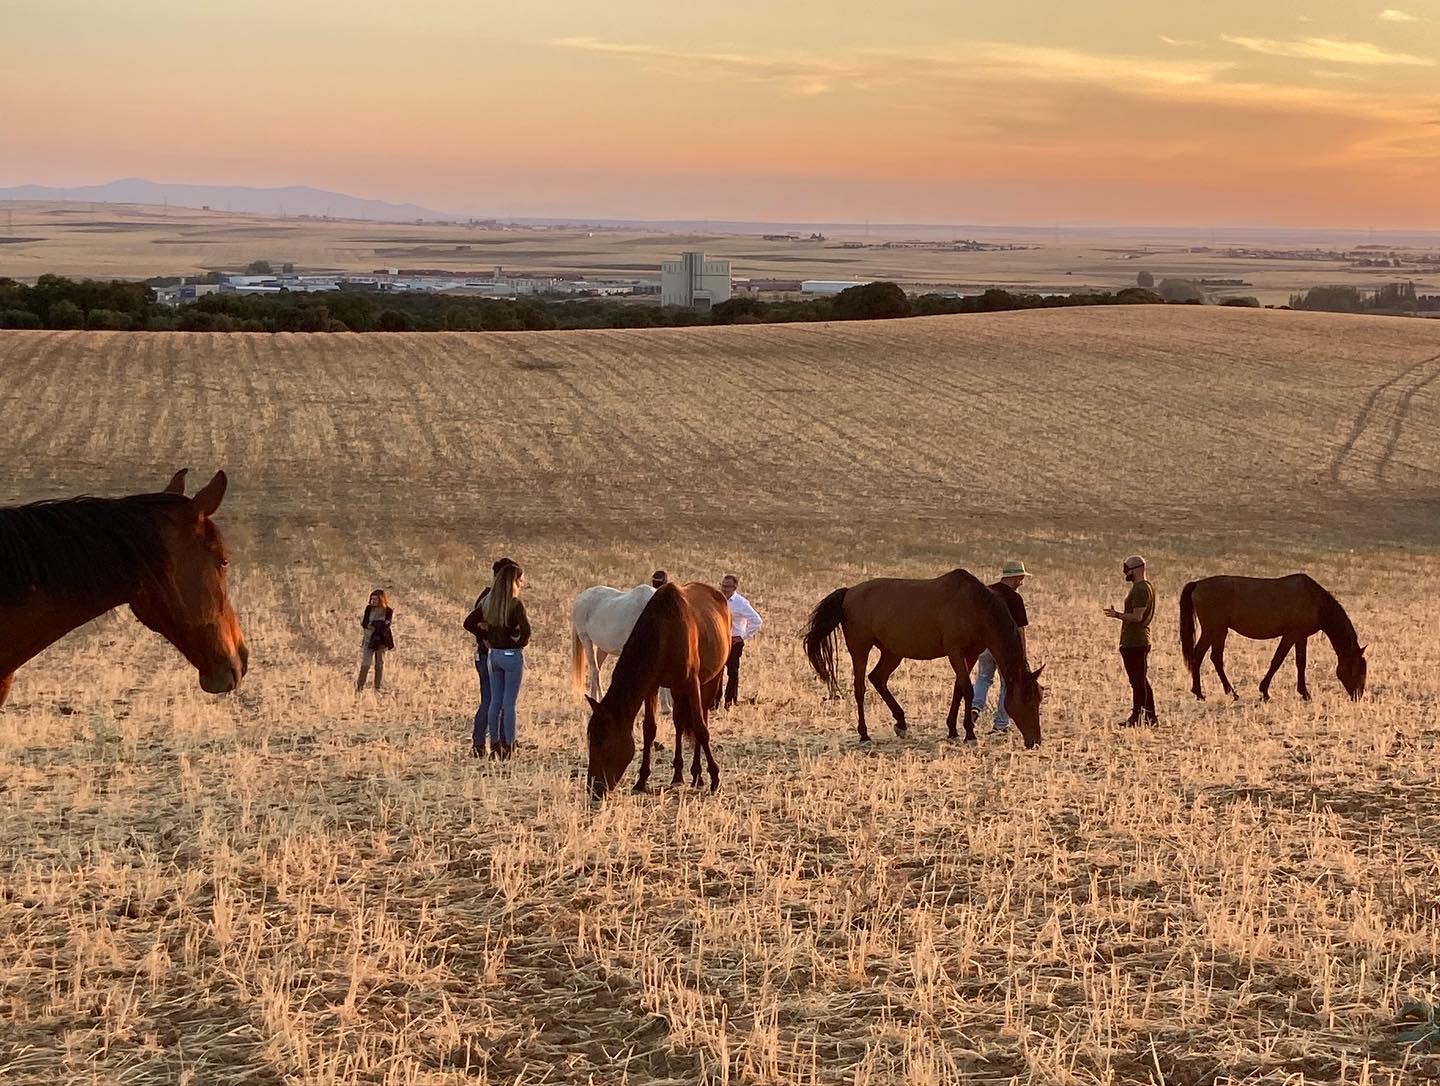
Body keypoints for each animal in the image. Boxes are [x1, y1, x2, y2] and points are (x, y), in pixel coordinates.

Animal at [585, 582, 729, 798]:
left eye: (603, 741)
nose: (593, 788)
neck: (665, 631)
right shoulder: (652, 685)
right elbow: (649, 729)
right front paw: (641, 780)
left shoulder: (691, 683)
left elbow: (701, 729)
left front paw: (715, 777)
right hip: (677, 689)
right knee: (679, 722)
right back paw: (678, 774)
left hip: (710, 679)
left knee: (701, 717)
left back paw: (697, 774)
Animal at [802, 569, 1044, 747]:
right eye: (1025, 699)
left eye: (1039, 698)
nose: (1035, 741)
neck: (974, 606)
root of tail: (849, 592)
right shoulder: (955, 652)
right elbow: (967, 689)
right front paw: (969, 734)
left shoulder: (971, 654)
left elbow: (959, 688)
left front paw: (953, 730)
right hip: (860, 648)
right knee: (860, 687)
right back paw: (864, 734)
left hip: (892, 652)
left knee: (877, 678)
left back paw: (901, 723)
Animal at [1179, 574, 1366, 702]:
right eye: (1357, 669)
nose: (1358, 696)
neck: (1314, 601)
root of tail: (1197, 584)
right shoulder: (1290, 635)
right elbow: (1277, 660)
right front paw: (1264, 691)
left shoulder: (1301, 636)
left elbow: (1301, 663)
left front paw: (1304, 693)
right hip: (1213, 630)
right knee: (1201, 657)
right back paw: (1203, 693)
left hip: (1218, 631)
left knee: (1214, 658)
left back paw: (1226, 692)